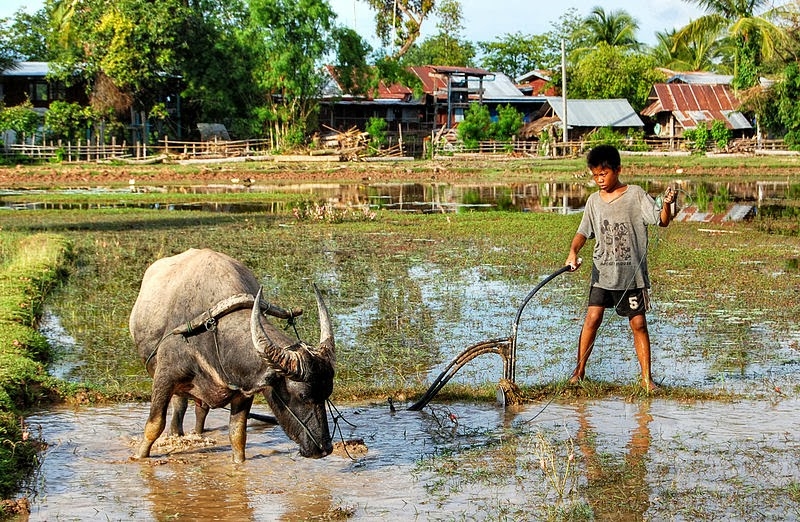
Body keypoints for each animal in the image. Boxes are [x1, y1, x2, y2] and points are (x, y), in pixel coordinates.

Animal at [130, 247, 336, 460]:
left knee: (198, 410)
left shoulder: (244, 391)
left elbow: (237, 435)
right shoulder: (165, 377)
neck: (213, 335)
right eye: (302, 396)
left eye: (327, 392)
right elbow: (154, 425)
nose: (324, 448)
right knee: (179, 408)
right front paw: (139, 456)